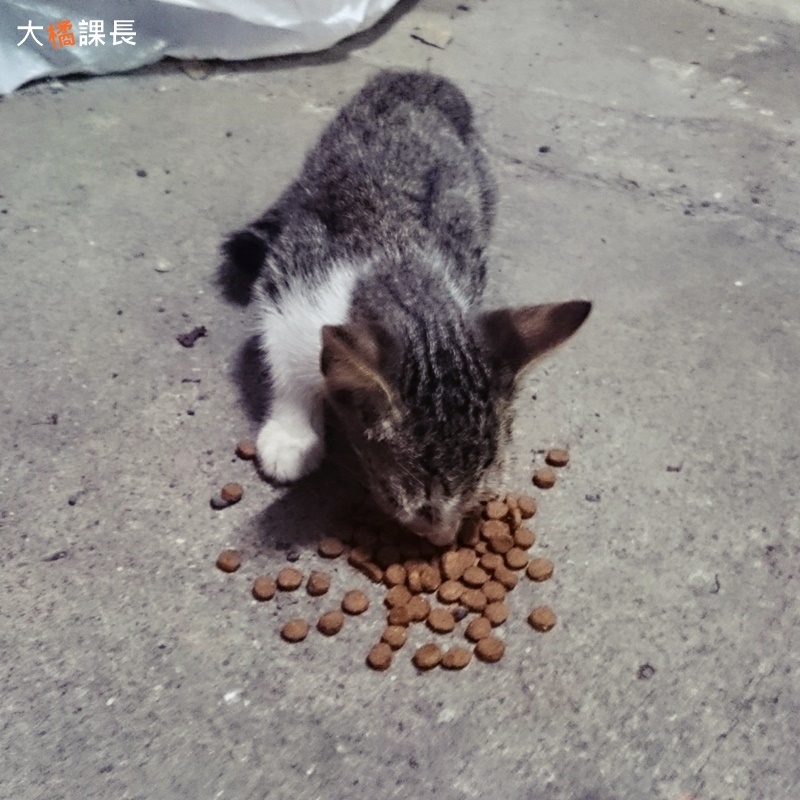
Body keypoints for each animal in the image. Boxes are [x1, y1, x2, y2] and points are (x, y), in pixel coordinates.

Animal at [223, 70, 591, 546]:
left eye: (479, 484)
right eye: (419, 500)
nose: (444, 539)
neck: (399, 264)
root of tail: (422, 77)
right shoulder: (292, 270)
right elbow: (281, 352)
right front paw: (292, 435)